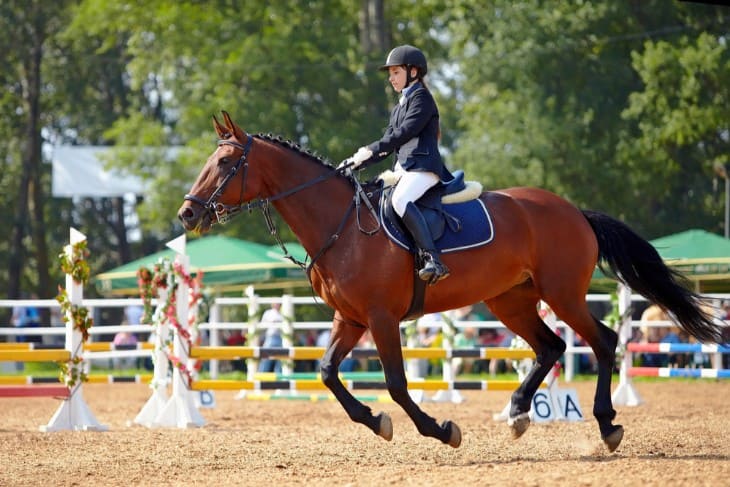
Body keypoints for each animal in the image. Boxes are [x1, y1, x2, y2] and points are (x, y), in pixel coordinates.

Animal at [176, 111, 724, 454]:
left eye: (225, 163)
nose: (187, 215)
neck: (341, 225)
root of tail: (573, 211)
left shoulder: (380, 318)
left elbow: (397, 383)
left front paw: (439, 429)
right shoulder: (349, 318)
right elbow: (329, 374)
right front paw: (376, 421)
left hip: (562, 293)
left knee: (603, 341)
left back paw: (607, 423)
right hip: (510, 301)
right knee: (549, 347)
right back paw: (519, 412)